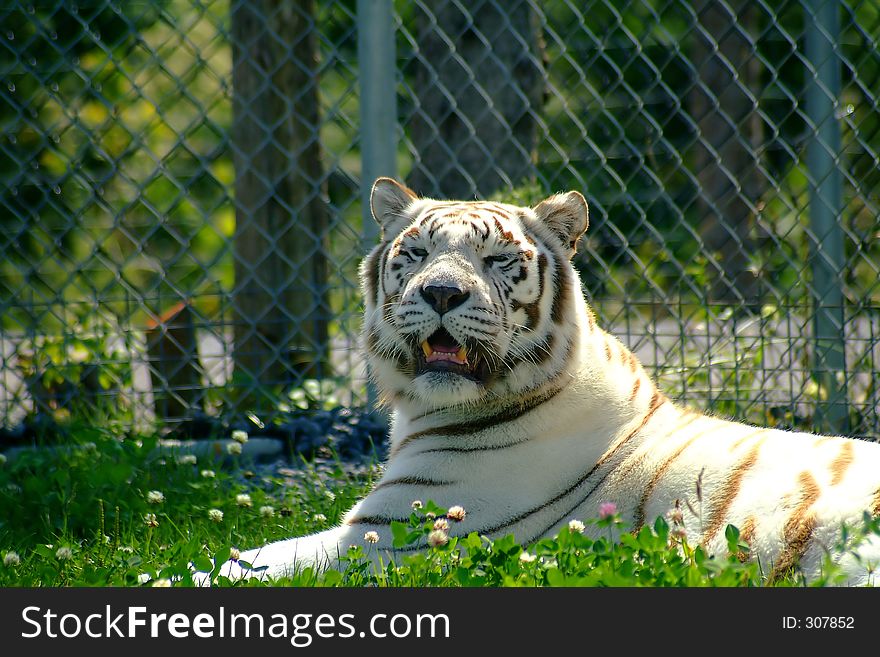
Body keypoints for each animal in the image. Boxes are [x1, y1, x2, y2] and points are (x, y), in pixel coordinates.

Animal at [210, 176, 880, 584]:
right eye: (417, 253)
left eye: (496, 259)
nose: (441, 292)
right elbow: (244, 556)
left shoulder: (391, 536)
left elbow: (243, 565)